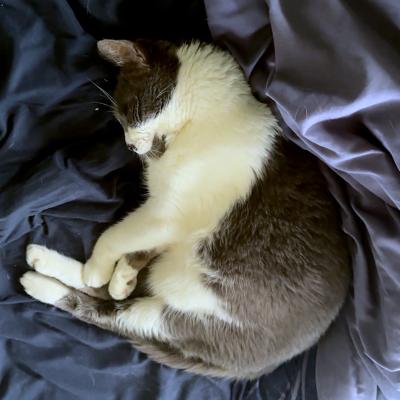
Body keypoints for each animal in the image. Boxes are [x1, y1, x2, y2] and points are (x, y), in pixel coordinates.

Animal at [20, 39, 348, 380]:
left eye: (129, 113)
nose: (130, 146)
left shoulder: (166, 214)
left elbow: (114, 236)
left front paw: (100, 269)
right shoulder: (170, 215)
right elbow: (137, 243)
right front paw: (122, 274)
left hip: (189, 321)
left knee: (108, 312)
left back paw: (46, 282)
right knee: (118, 296)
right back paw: (54, 264)